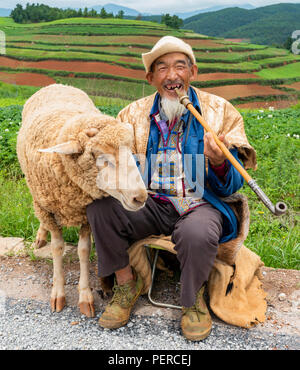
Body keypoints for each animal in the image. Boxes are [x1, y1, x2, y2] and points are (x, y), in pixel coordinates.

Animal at [16, 84, 148, 318]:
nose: (140, 197)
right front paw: (58, 293)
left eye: (131, 153)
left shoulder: (85, 212)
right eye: (103, 159)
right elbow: (57, 248)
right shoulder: (49, 210)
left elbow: (84, 250)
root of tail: (57, 84)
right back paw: (40, 237)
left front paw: (85, 295)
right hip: (37, 198)